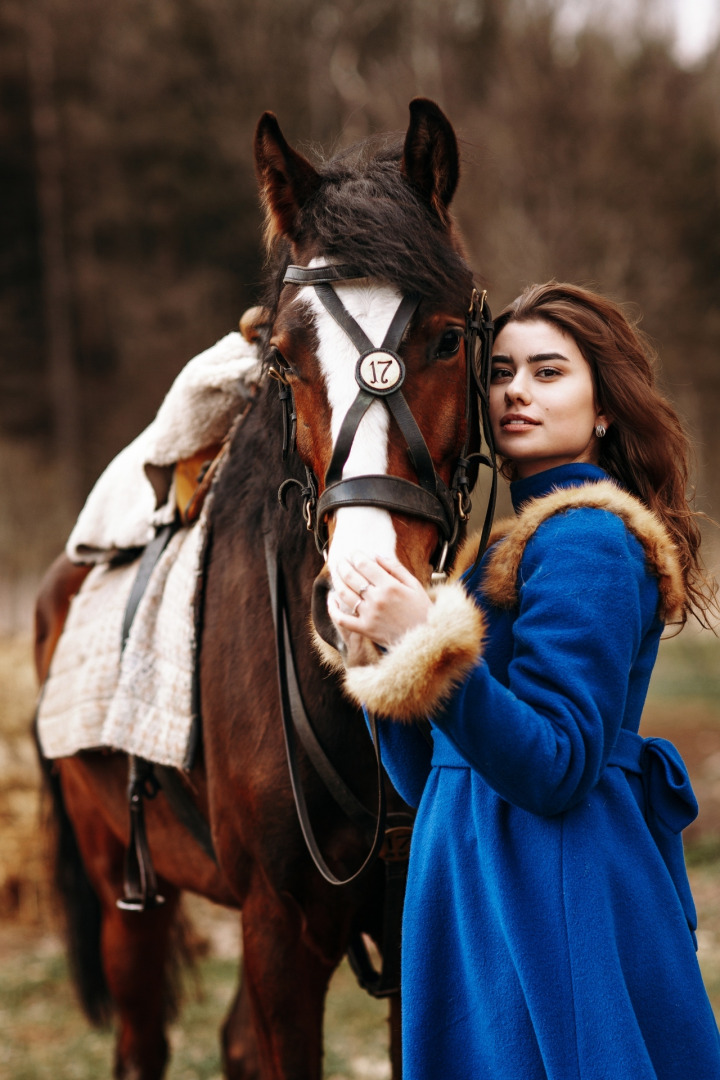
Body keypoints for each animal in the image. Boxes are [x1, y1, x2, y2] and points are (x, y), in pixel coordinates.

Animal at [33, 97, 487, 1075]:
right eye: (282, 358)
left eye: (445, 339)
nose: (362, 604)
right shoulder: (279, 929)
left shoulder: (408, 919)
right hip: (129, 890)